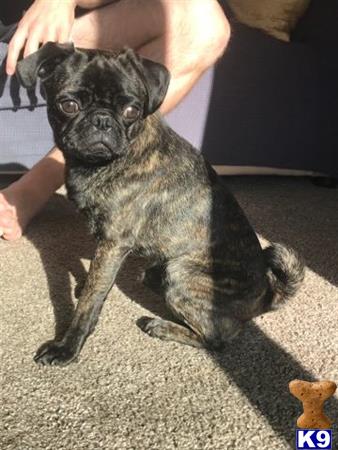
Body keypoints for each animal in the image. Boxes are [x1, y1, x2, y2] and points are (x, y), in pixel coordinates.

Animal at [16, 43, 306, 366]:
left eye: (131, 111)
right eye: (68, 105)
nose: (102, 120)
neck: (103, 163)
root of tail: (266, 295)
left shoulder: (113, 243)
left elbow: (90, 302)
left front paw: (67, 346)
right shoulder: (106, 243)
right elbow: (94, 279)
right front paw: (85, 285)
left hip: (181, 275)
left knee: (217, 339)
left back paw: (162, 326)